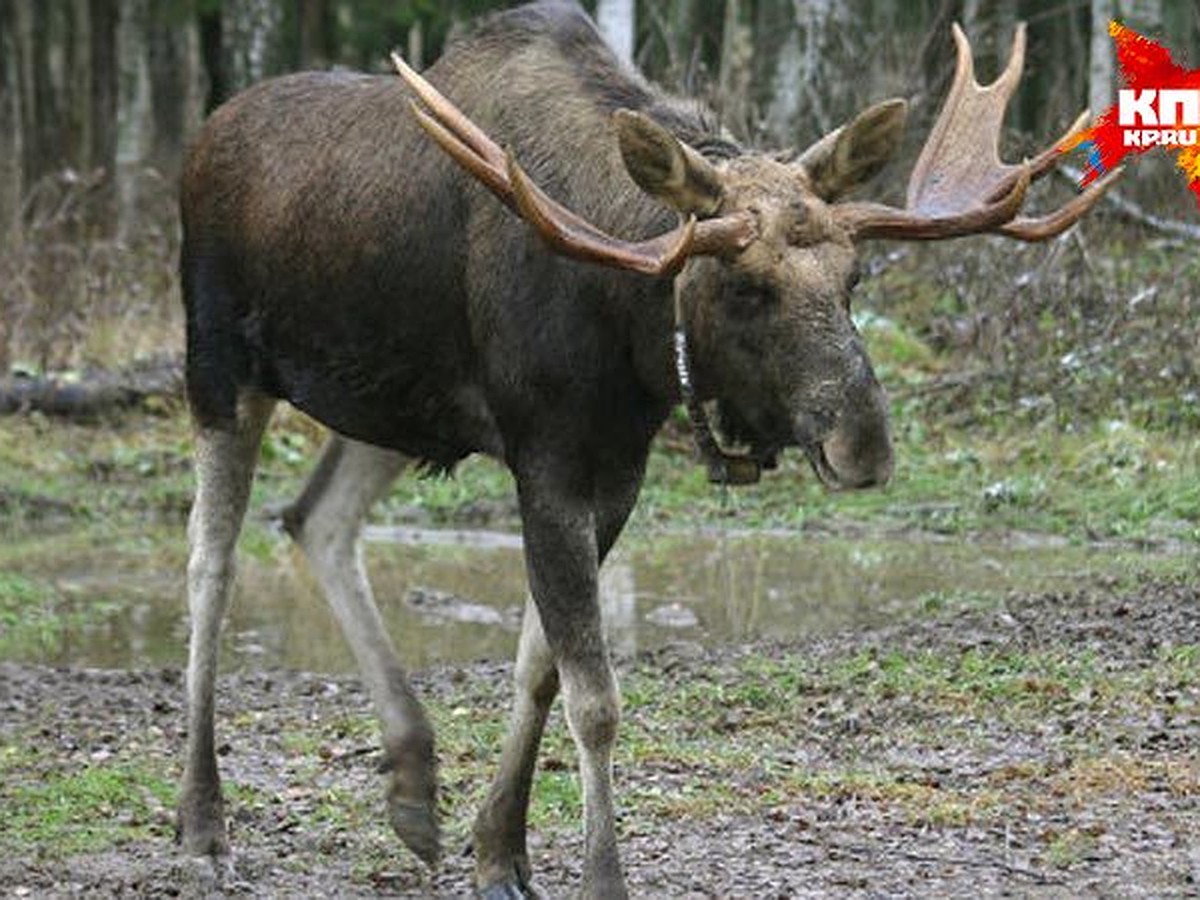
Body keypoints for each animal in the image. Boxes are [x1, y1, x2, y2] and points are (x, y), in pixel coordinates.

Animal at [177, 3, 1113, 897]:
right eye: (746, 288)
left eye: (854, 279)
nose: (865, 445)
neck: (627, 322)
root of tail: (203, 138)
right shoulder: (546, 455)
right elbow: (594, 697)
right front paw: (600, 876)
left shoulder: (617, 468)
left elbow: (540, 667)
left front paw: (499, 851)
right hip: (221, 368)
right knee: (211, 567)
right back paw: (204, 826)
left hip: (390, 408)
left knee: (318, 521)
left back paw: (412, 784)